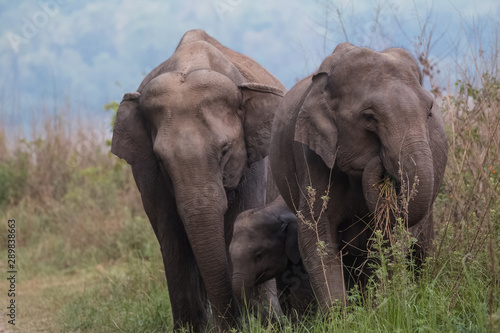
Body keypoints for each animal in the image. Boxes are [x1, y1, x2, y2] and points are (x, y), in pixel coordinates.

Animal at [112, 29, 288, 330]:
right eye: (161, 160)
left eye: (225, 150)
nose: (232, 326)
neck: (191, 61)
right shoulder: (147, 172)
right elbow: (171, 231)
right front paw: (190, 329)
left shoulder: (253, 165)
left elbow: (241, 219)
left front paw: (265, 324)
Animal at [270, 42, 450, 312]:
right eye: (369, 117)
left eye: (429, 113)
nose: (380, 158)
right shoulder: (312, 155)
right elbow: (317, 236)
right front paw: (342, 315)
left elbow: (385, 237)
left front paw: (377, 310)